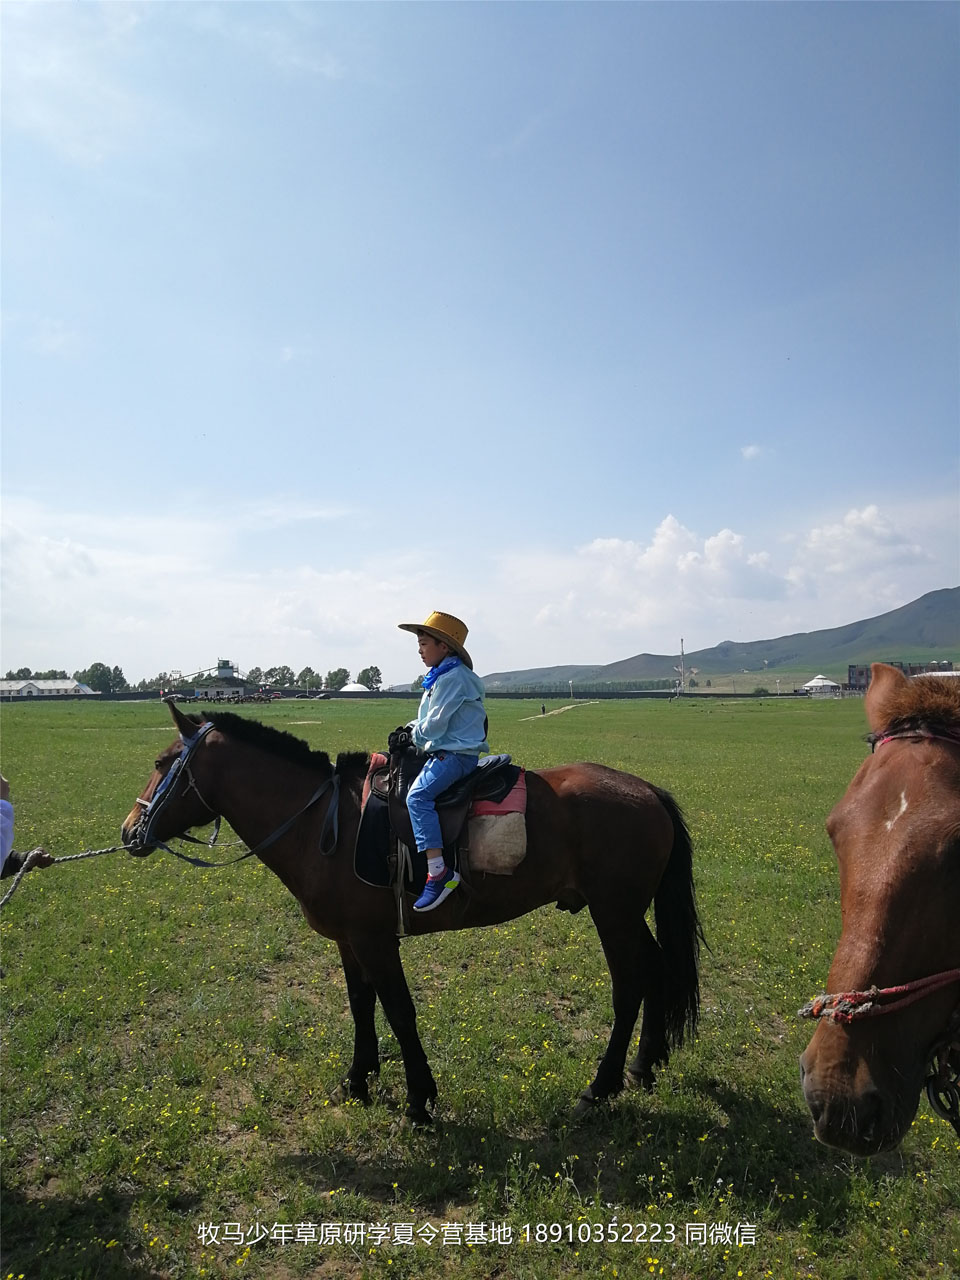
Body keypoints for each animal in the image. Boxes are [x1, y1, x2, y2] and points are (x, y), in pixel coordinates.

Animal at [122, 696, 706, 1126]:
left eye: (160, 764)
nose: (129, 831)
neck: (321, 823)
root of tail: (647, 790)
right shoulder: (349, 939)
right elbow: (361, 1006)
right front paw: (358, 1081)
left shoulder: (376, 940)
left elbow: (400, 1012)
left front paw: (419, 1100)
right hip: (627, 913)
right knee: (657, 970)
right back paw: (643, 1067)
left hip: (614, 912)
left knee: (630, 985)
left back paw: (599, 1088)